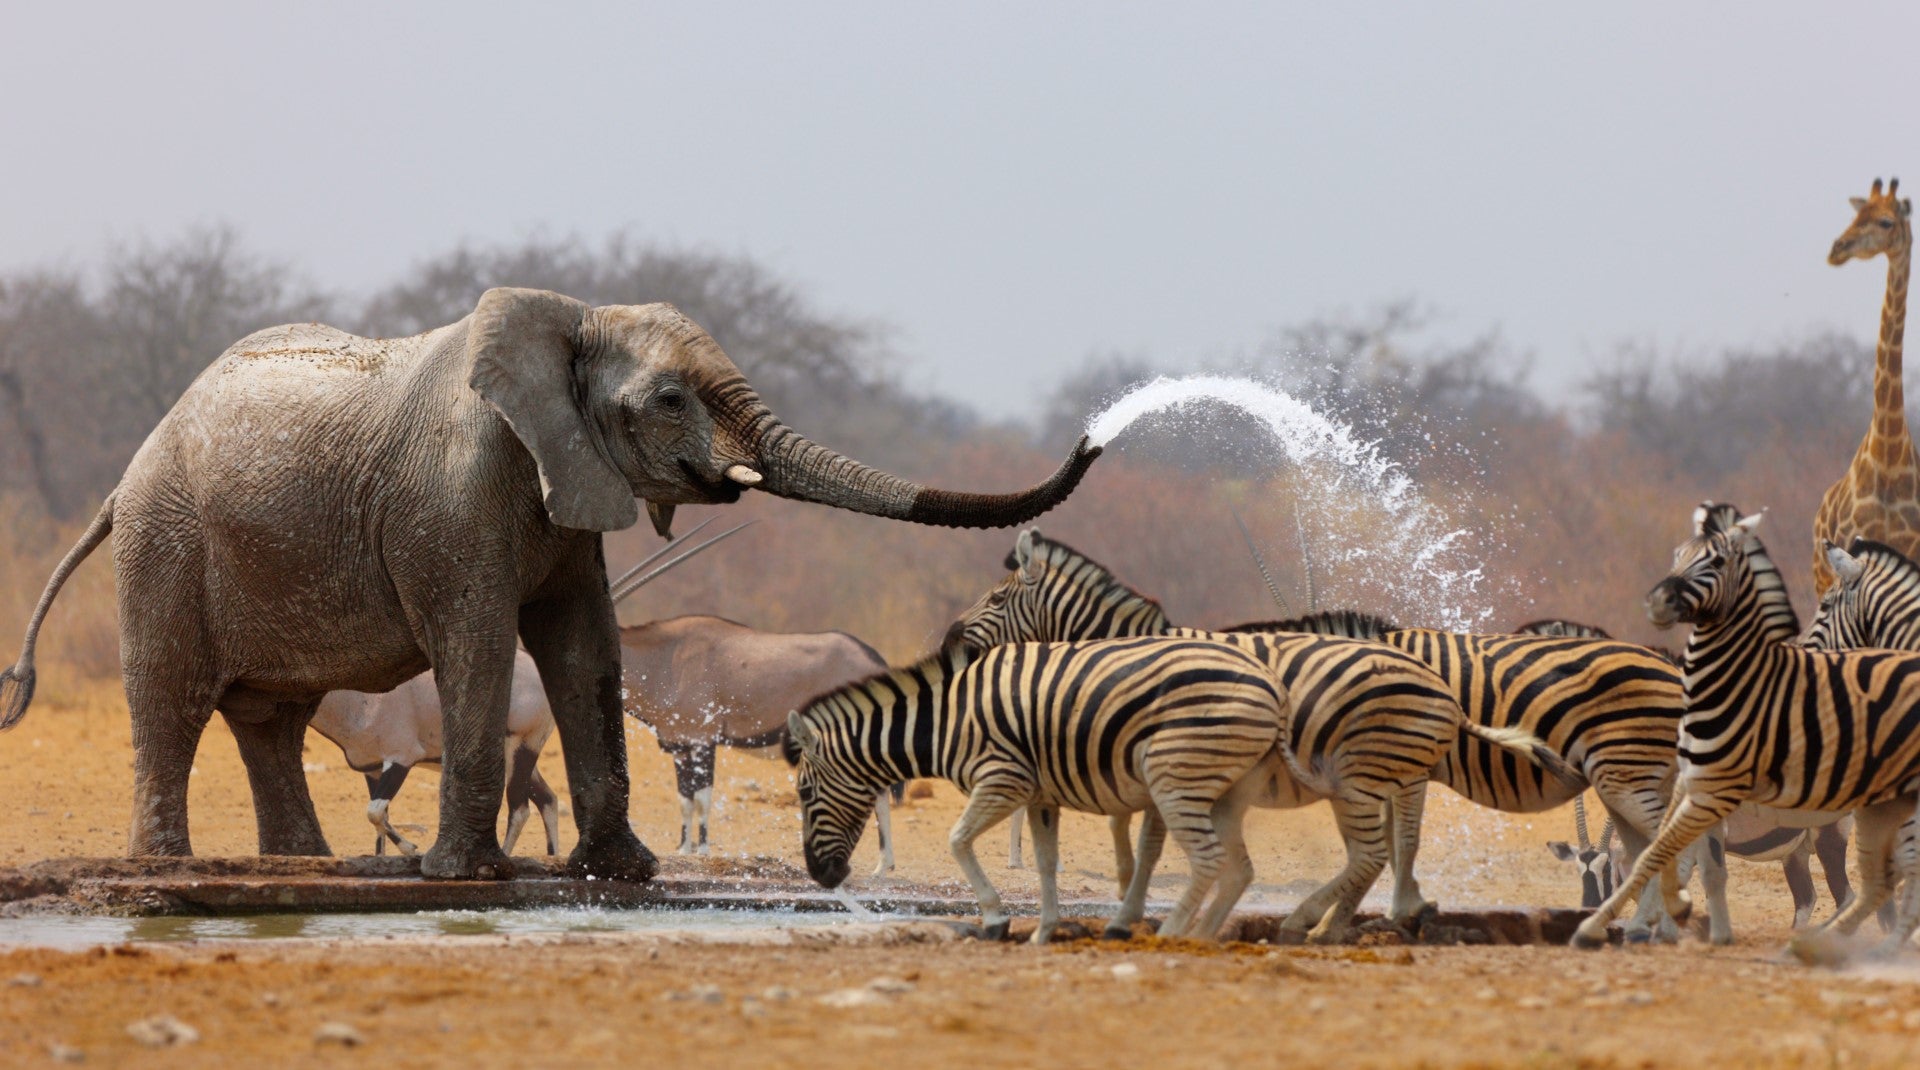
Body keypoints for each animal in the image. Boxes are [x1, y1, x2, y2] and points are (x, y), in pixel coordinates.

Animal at [0, 287, 1101, 881]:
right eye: (670, 400)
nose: (1096, 433)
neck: (569, 321)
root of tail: (125, 476)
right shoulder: (452, 494)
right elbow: (481, 643)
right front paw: (464, 876)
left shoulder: (570, 483)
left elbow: (586, 648)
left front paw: (623, 872)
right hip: (167, 542)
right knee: (173, 697)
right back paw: (169, 867)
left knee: (271, 715)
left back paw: (302, 866)